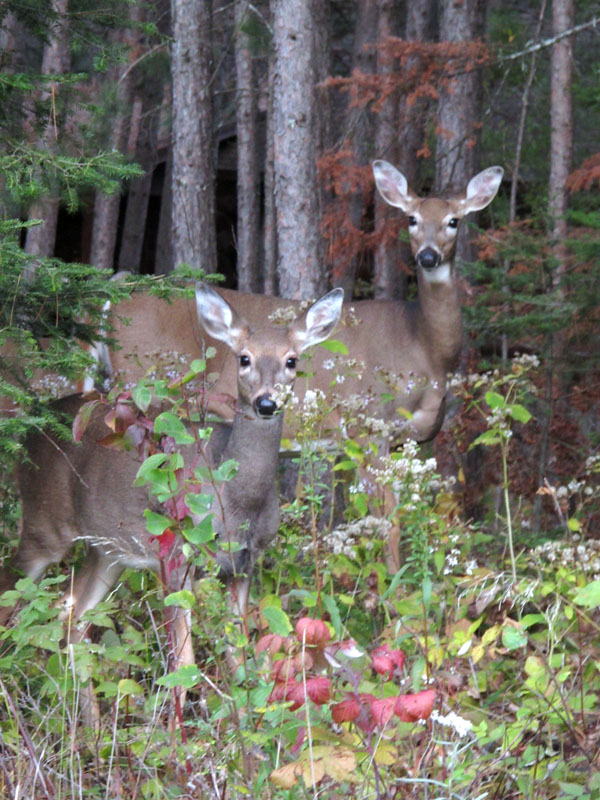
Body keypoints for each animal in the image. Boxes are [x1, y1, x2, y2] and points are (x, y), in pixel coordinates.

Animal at [0, 283, 344, 709]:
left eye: (291, 360)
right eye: (244, 358)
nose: (266, 403)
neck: (236, 501)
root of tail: (29, 429)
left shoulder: (243, 563)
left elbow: (240, 657)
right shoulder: (178, 554)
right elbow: (185, 664)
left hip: (108, 550)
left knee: (74, 617)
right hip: (45, 522)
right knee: (15, 589)